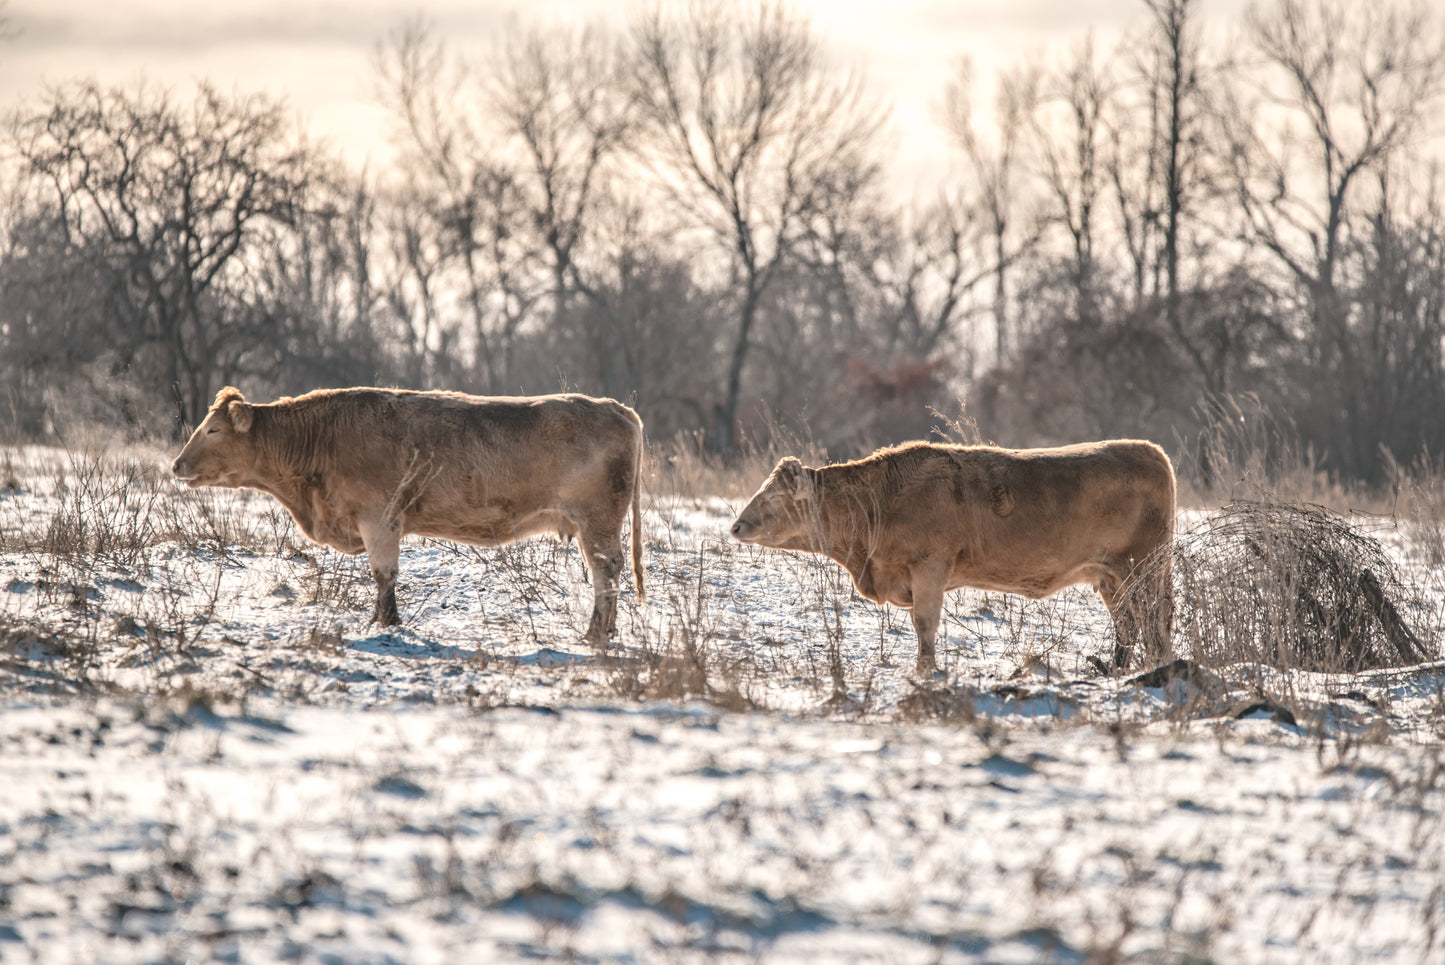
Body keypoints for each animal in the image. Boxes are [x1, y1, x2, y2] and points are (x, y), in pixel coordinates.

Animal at [169, 387, 644, 647]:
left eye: (212, 430)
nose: (176, 464)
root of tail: (614, 406)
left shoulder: (379, 519)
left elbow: (384, 576)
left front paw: (383, 624)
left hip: (597, 523)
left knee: (606, 573)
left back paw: (597, 633)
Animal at [734, 442, 1173, 676]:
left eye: (773, 498)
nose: (736, 526)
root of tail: (1150, 451)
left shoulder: (930, 567)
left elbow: (925, 624)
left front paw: (925, 671)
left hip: (1141, 568)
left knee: (1153, 622)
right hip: (1111, 577)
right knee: (1129, 624)